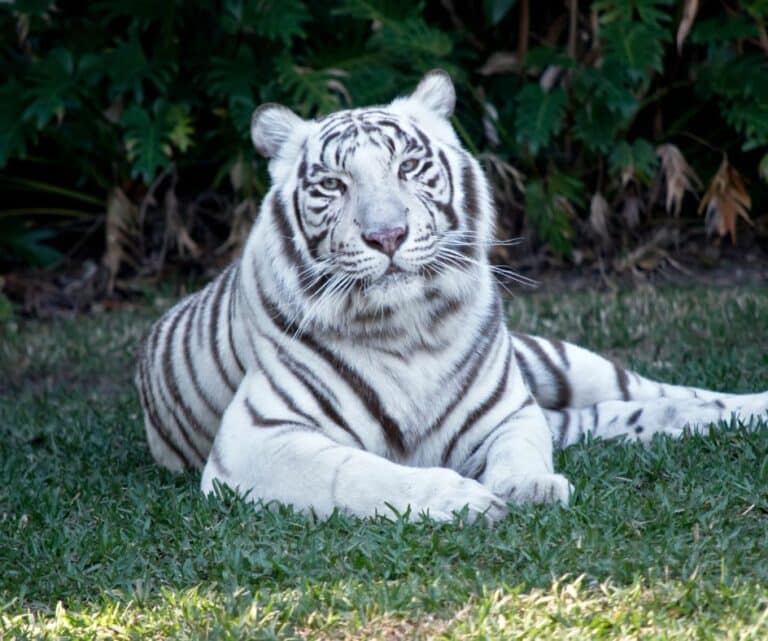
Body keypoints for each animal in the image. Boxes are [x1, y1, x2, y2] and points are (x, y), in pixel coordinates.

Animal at [135, 70, 768, 523]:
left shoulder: (509, 410)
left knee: (665, 394)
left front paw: (528, 485)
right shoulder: (258, 440)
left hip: (559, 362)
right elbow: (364, 475)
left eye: (409, 166)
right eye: (334, 185)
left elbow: (522, 449)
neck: (406, 327)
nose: (387, 235)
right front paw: (464, 501)